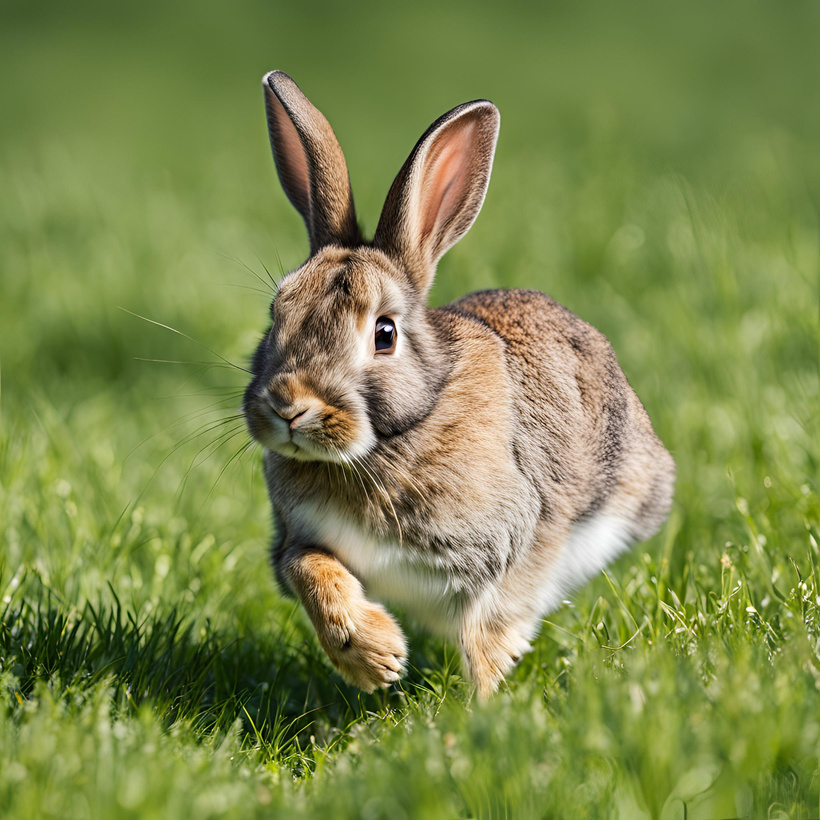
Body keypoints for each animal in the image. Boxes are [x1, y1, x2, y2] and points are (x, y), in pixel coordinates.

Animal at [242, 72, 672, 700]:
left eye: (385, 333)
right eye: (276, 315)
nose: (289, 406)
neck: (386, 443)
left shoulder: (520, 544)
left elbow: (488, 631)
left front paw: (480, 710)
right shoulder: (297, 541)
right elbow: (310, 571)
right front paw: (376, 657)